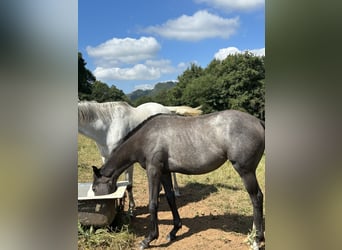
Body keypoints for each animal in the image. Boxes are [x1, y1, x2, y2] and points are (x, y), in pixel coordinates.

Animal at [91, 110, 264, 249]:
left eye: (94, 188)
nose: (101, 229)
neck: (146, 137)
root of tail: (258, 122)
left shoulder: (153, 170)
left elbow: (153, 203)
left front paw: (149, 239)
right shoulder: (165, 172)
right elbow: (170, 198)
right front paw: (174, 230)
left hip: (246, 171)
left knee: (256, 198)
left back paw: (256, 239)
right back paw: (255, 234)